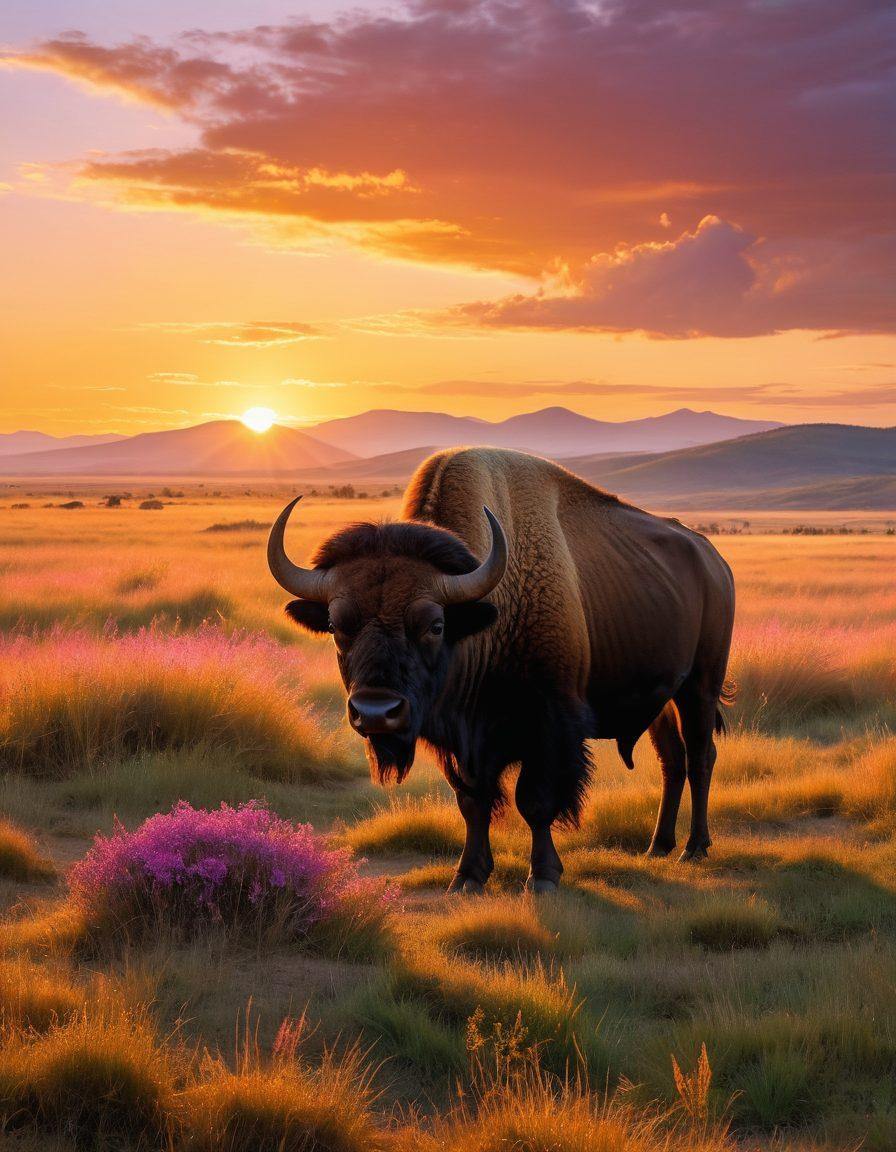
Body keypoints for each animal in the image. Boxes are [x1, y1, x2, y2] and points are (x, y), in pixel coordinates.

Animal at [268, 447, 735, 892]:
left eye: (435, 625)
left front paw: (543, 876)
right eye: (336, 626)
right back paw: (658, 847)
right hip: (662, 703)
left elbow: (535, 802)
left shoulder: (549, 727)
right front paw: (467, 877)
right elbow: (473, 802)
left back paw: (693, 848)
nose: (376, 712)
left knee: (700, 756)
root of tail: (714, 561)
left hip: (699, 687)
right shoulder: (465, 741)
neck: (484, 616)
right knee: (672, 761)